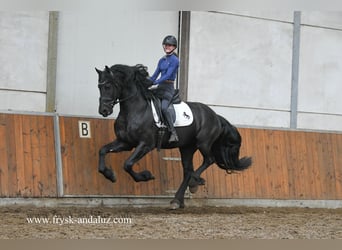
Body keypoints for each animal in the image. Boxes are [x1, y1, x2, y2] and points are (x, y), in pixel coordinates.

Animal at [95, 63, 251, 208]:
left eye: (108, 86)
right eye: (99, 86)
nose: (104, 110)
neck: (135, 110)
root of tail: (216, 116)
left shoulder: (146, 144)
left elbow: (127, 164)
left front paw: (146, 176)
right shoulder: (125, 143)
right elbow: (102, 151)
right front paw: (110, 175)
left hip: (203, 143)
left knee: (208, 160)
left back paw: (195, 182)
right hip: (187, 147)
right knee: (188, 170)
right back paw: (177, 200)